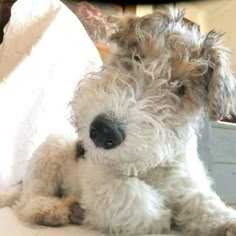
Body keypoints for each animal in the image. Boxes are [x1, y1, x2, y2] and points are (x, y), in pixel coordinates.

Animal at [0, 7, 236, 236]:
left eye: (181, 89)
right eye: (137, 58)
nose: (105, 131)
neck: (150, 166)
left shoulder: (188, 186)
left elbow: (207, 206)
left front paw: (227, 223)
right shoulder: (98, 180)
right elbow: (142, 204)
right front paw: (162, 217)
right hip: (52, 148)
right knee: (28, 200)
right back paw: (52, 209)